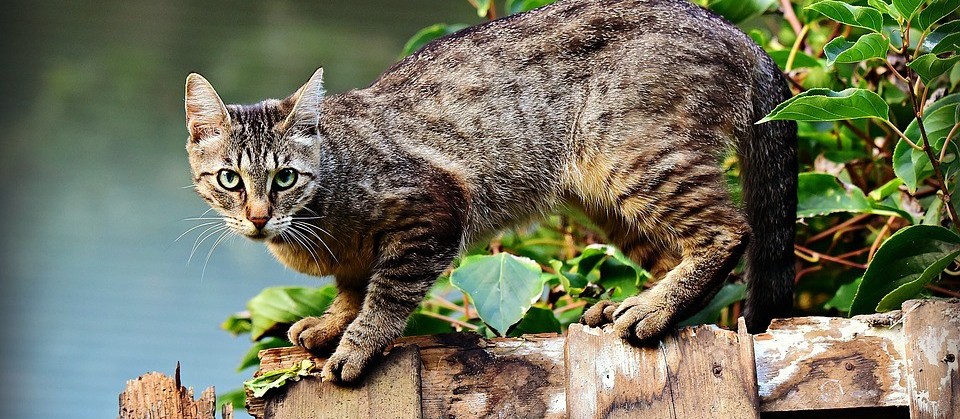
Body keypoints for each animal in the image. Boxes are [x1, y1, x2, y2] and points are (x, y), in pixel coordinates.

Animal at [182, 0, 796, 384]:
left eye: (284, 178)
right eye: (230, 179)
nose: (258, 216)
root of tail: (736, 32)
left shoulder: (432, 212)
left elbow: (386, 294)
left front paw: (357, 343)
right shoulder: (358, 258)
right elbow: (354, 287)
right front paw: (333, 322)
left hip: (633, 158)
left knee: (729, 232)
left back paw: (651, 309)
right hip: (604, 197)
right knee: (676, 253)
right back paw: (635, 306)